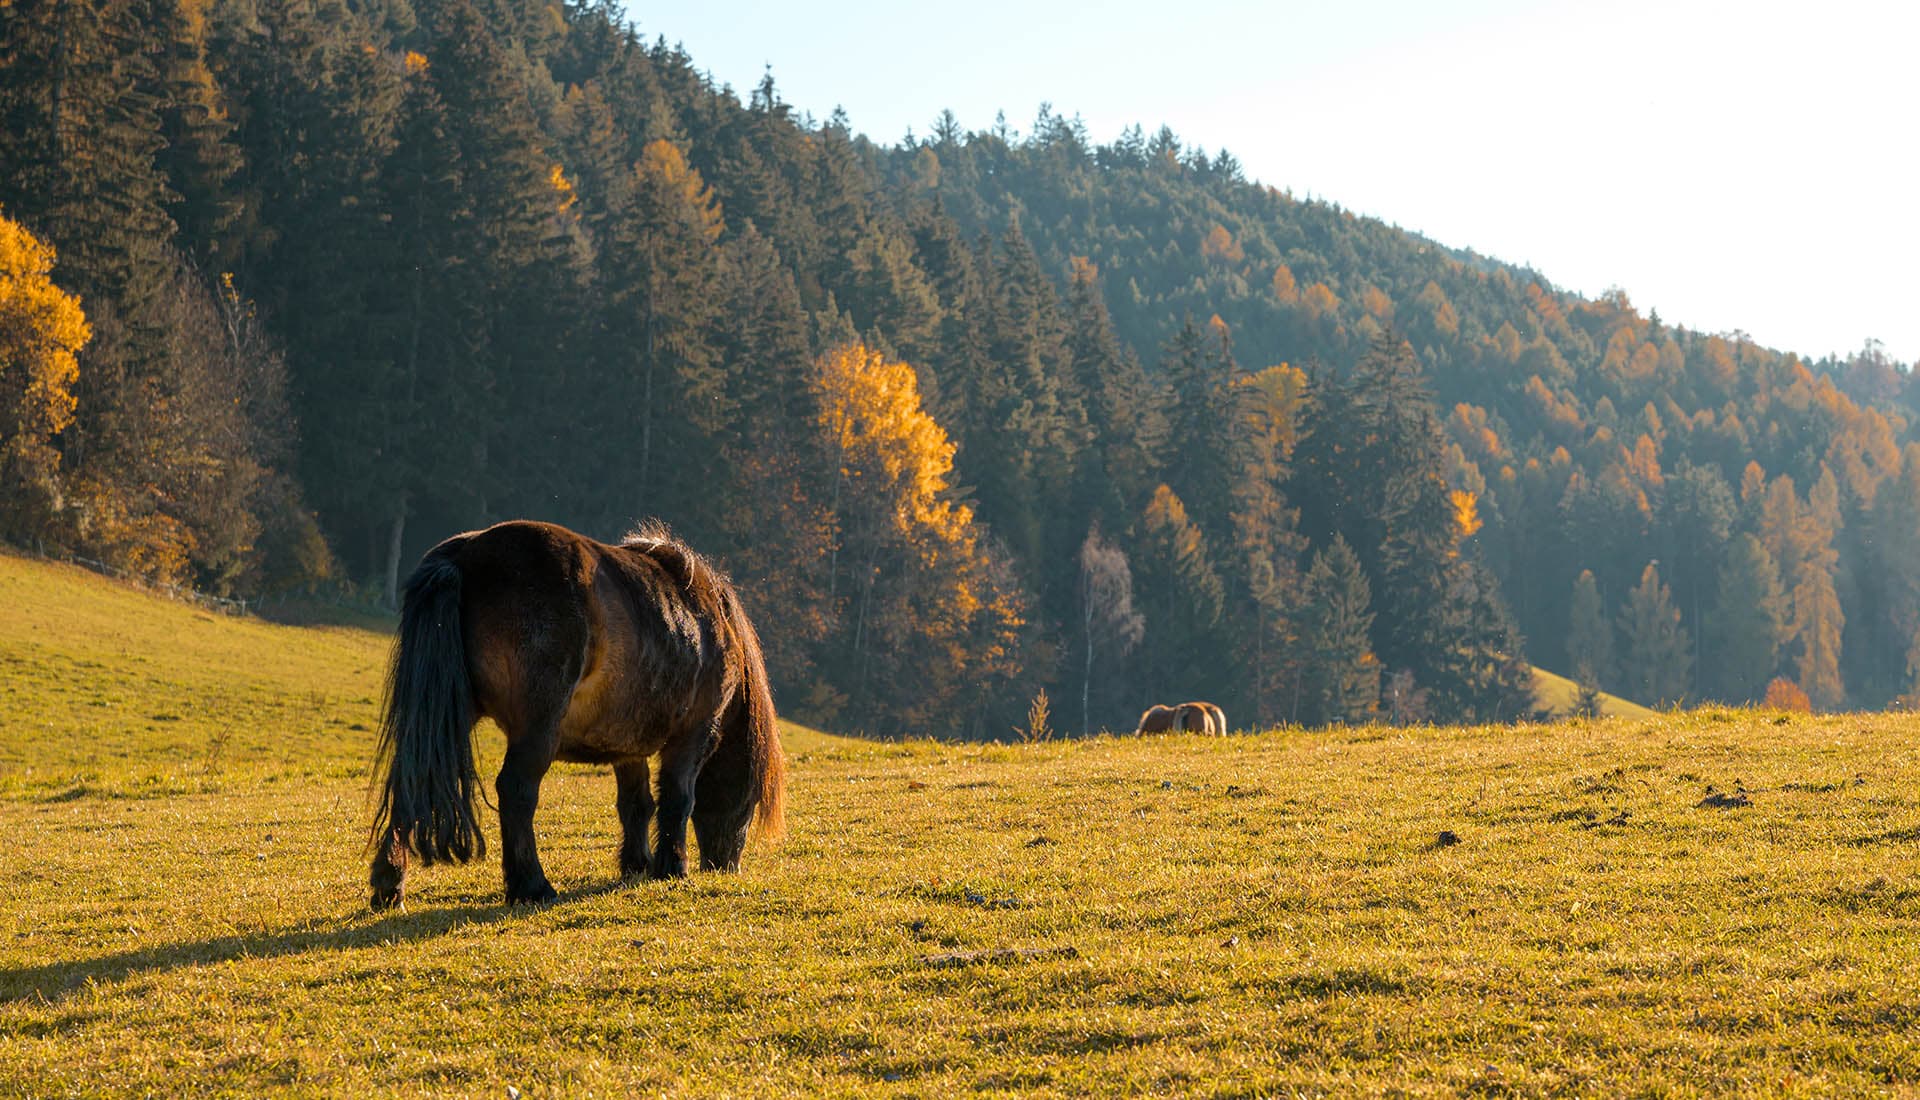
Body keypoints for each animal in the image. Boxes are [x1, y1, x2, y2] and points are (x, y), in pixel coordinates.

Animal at [362, 518, 783, 906]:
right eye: (750, 800)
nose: (725, 865)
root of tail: (464, 557)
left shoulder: (627, 745)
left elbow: (637, 803)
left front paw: (637, 864)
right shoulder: (693, 735)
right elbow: (678, 798)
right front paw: (671, 867)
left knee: (412, 783)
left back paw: (389, 885)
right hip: (537, 728)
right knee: (517, 791)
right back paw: (532, 886)